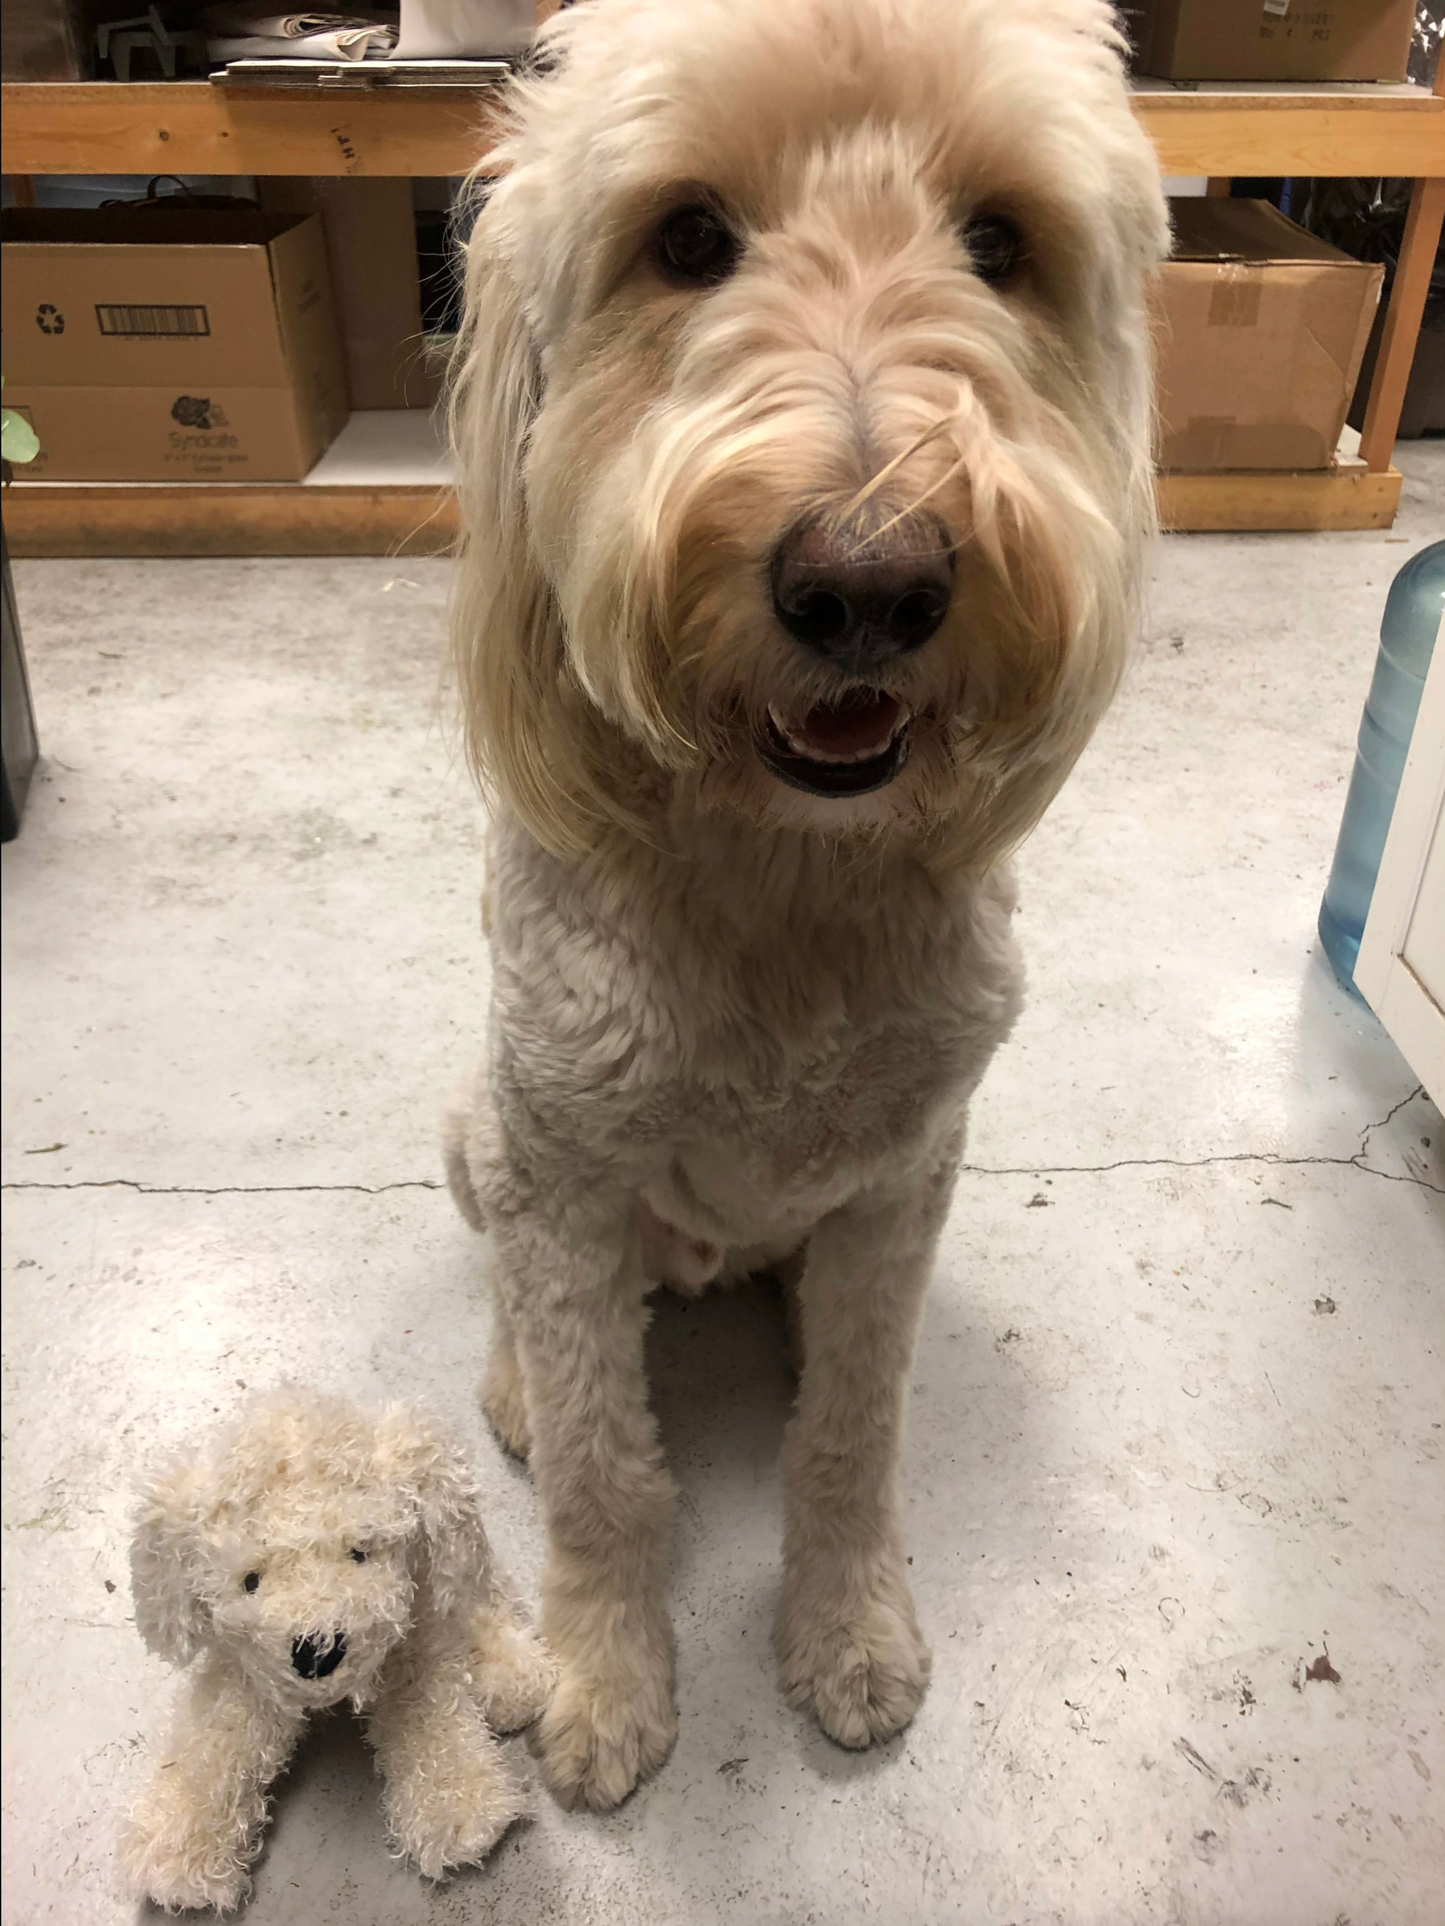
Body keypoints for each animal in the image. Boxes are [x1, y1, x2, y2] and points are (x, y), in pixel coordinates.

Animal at [120, 1386, 554, 1910]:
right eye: (251, 1580)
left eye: (360, 1551)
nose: (316, 1652)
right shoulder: (246, 1674)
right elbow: (212, 1747)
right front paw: (180, 1853)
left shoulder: (409, 1647)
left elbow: (429, 1718)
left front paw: (462, 1813)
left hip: (451, 1565)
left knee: (477, 1593)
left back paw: (512, 1674)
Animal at [446, 0, 1171, 1810]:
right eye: (688, 237)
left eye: (1000, 241)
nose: (869, 582)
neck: (783, 871)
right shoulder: (562, 1173)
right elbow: (602, 1464)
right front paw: (603, 1673)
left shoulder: (907, 1182)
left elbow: (853, 1431)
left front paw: (845, 1632)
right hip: (475, 1130)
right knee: (517, 1295)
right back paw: (507, 1379)